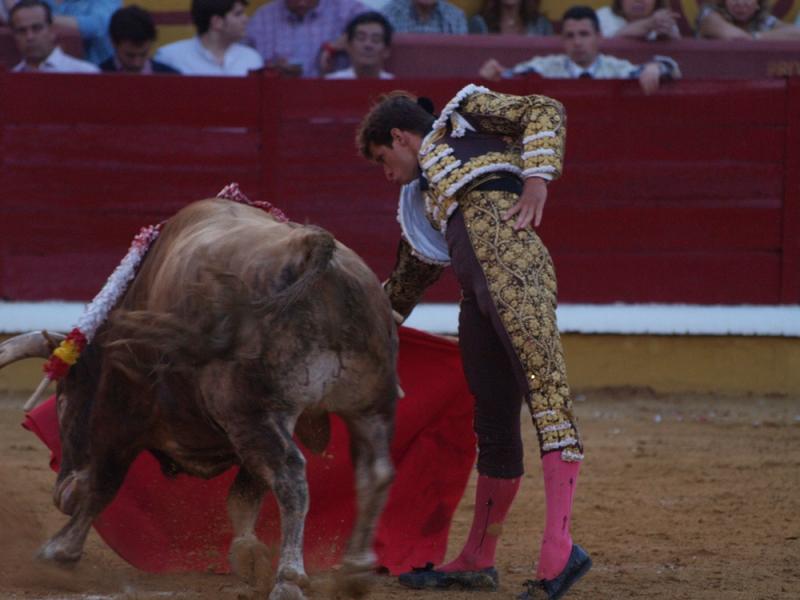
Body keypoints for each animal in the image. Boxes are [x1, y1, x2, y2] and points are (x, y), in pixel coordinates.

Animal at [0, 198, 400, 600]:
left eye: (63, 403)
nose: (61, 494)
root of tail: (314, 250)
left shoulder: (125, 415)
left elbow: (103, 483)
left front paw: (57, 552)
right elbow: (243, 494)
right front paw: (248, 555)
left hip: (258, 413)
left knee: (291, 475)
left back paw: (289, 578)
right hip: (370, 405)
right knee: (375, 472)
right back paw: (355, 571)